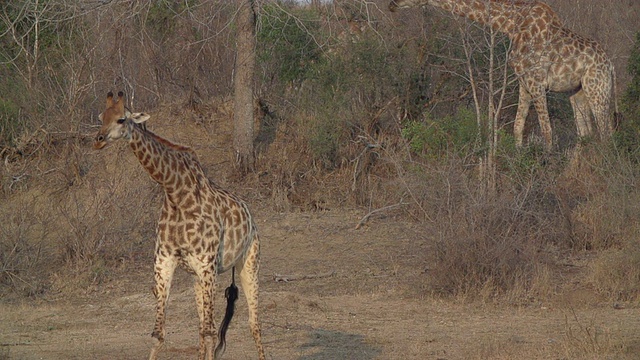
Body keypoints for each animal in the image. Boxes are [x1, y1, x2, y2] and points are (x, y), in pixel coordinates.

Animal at [92, 92, 264, 360]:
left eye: (121, 119)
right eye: (101, 116)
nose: (98, 141)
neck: (175, 193)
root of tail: (250, 217)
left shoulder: (207, 264)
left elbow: (210, 332)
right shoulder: (164, 262)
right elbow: (159, 333)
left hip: (248, 264)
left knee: (252, 325)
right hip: (198, 278)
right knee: (203, 327)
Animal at [388, 0, 616, 150]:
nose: (391, 4)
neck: (511, 25)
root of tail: (611, 66)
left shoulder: (536, 81)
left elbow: (546, 130)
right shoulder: (524, 82)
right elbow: (517, 127)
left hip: (597, 88)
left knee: (606, 132)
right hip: (577, 92)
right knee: (585, 134)